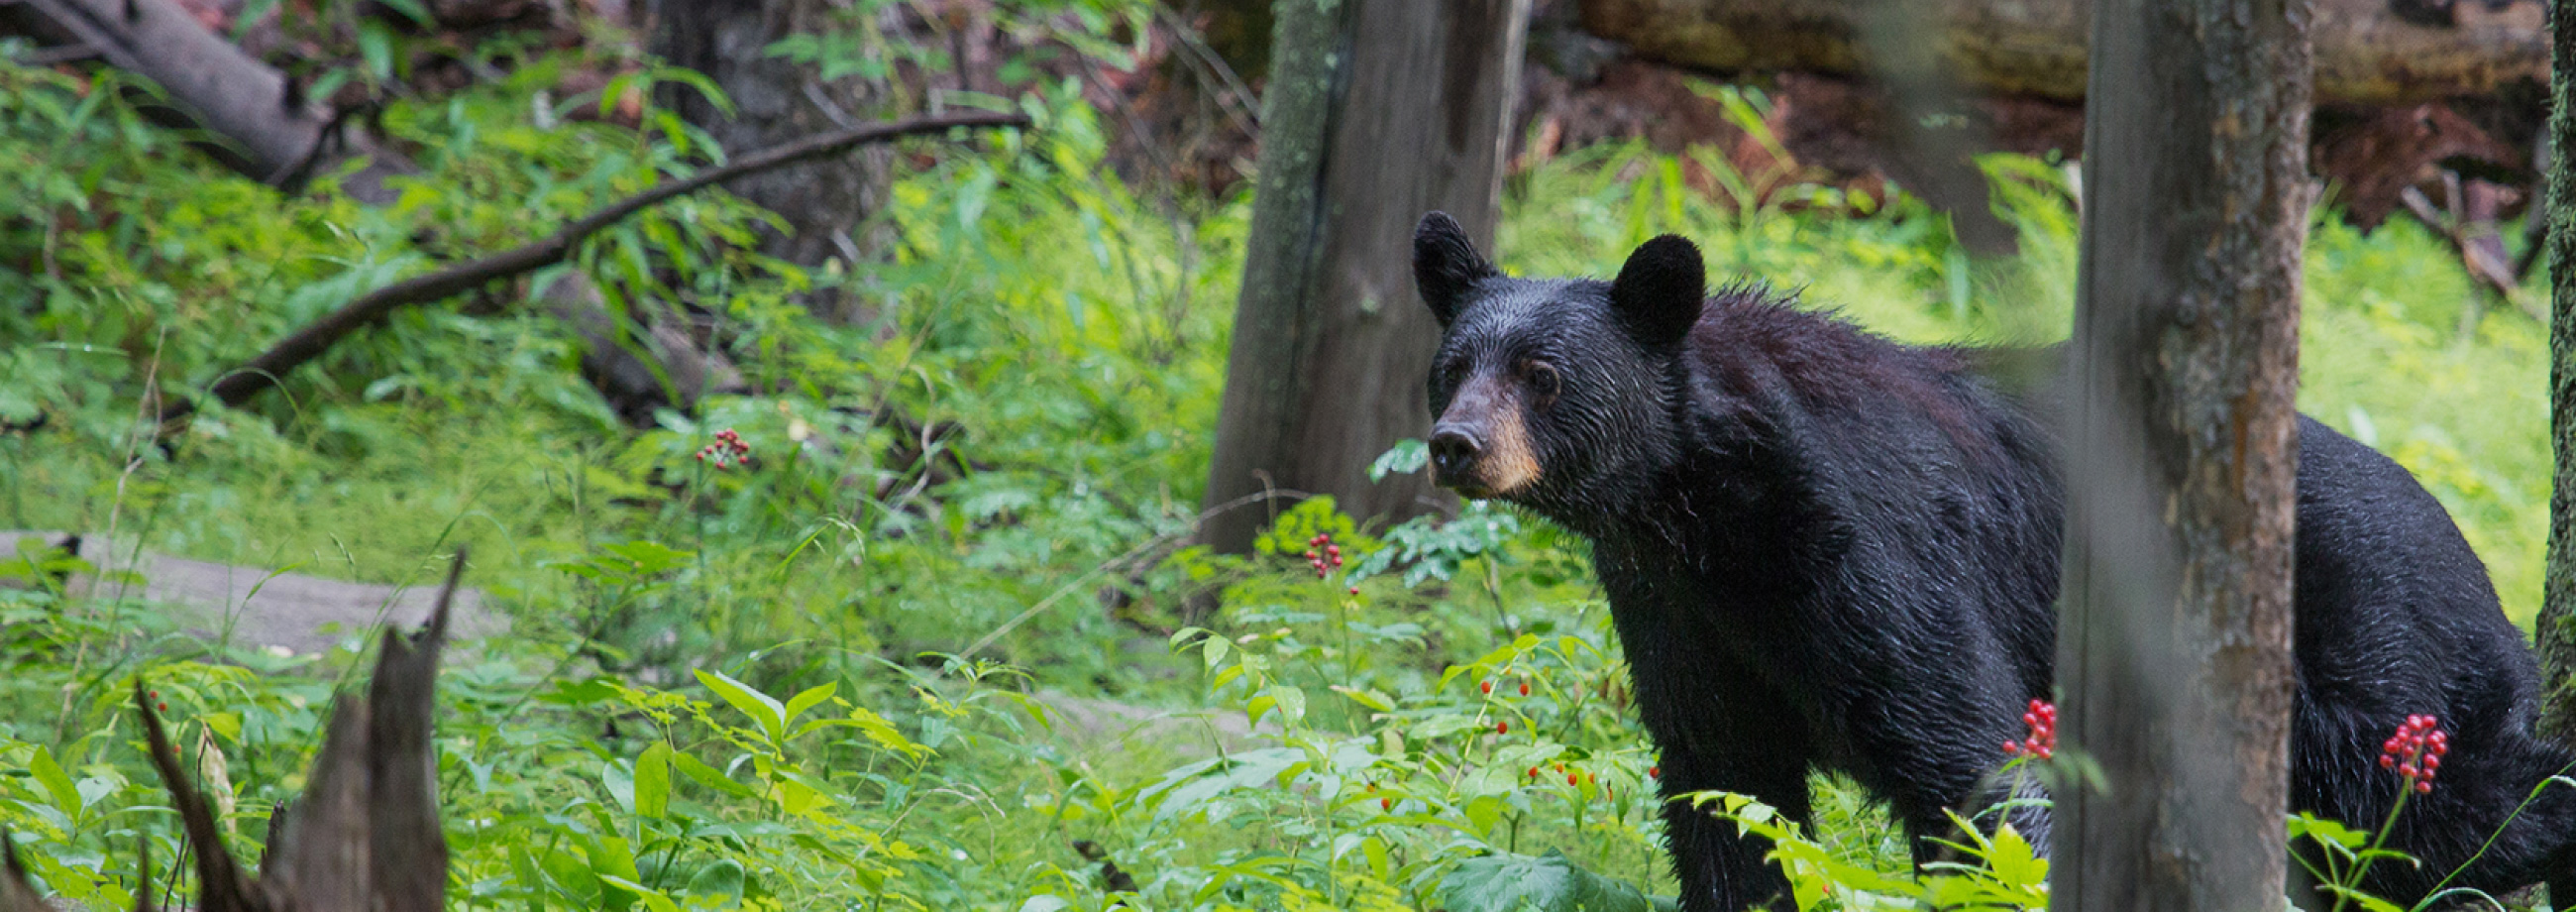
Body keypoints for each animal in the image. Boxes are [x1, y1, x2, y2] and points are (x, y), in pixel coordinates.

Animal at [1411, 213, 2576, 912]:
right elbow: (1724, 789)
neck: (1701, 502)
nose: (1455, 444)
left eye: (1544, 373)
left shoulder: (1871, 549)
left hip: (2371, 657)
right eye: (1451, 365)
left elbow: (1969, 756)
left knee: (2440, 812)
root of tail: (2471, 559)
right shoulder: (1674, 609)